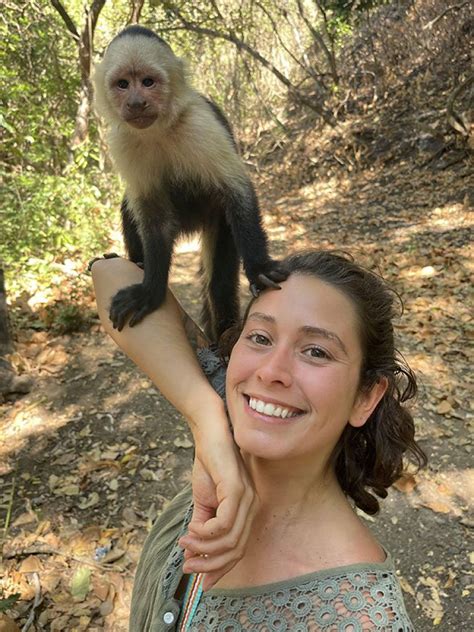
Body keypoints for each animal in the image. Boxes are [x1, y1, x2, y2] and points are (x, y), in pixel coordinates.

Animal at [91, 24, 286, 340]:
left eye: (148, 82)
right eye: (122, 84)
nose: (136, 103)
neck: (158, 129)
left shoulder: (199, 123)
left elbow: (236, 188)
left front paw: (259, 267)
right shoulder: (122, 141)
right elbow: (152, 215)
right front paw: (151, 290)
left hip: (218, 221)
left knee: (218, 286)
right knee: (130, 208)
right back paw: (138, 261)